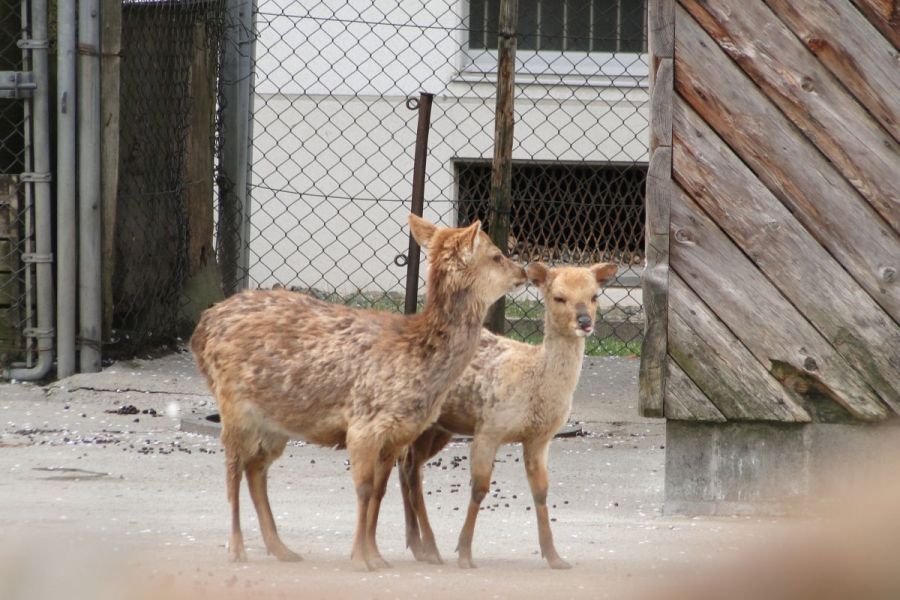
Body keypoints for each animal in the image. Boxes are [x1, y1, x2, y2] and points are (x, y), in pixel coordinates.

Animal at [191, 213, 528, 568]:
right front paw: (360, 557)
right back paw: (237, 547)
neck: (418, 361)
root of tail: (202, 328)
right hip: (233, 403)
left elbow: (379, 491)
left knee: (256, 468)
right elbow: (364, 488)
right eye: (496, 255)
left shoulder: (397, 434)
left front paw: (376, 556)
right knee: (233, 467)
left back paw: (282, 549)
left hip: (275, 421)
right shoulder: (364, 424)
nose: (523, 271)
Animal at [400, 262, 620, 568]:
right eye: (559, 297)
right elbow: (479, 489)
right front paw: (465, 553)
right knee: (408, 468)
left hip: (439, 427)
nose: (585, 321)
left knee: (407, 464)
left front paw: (554, 557)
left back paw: (419, 546)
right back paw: (430, 548)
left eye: (594, 296)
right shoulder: (489, 427)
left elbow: (541, 491)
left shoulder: (539, 438)